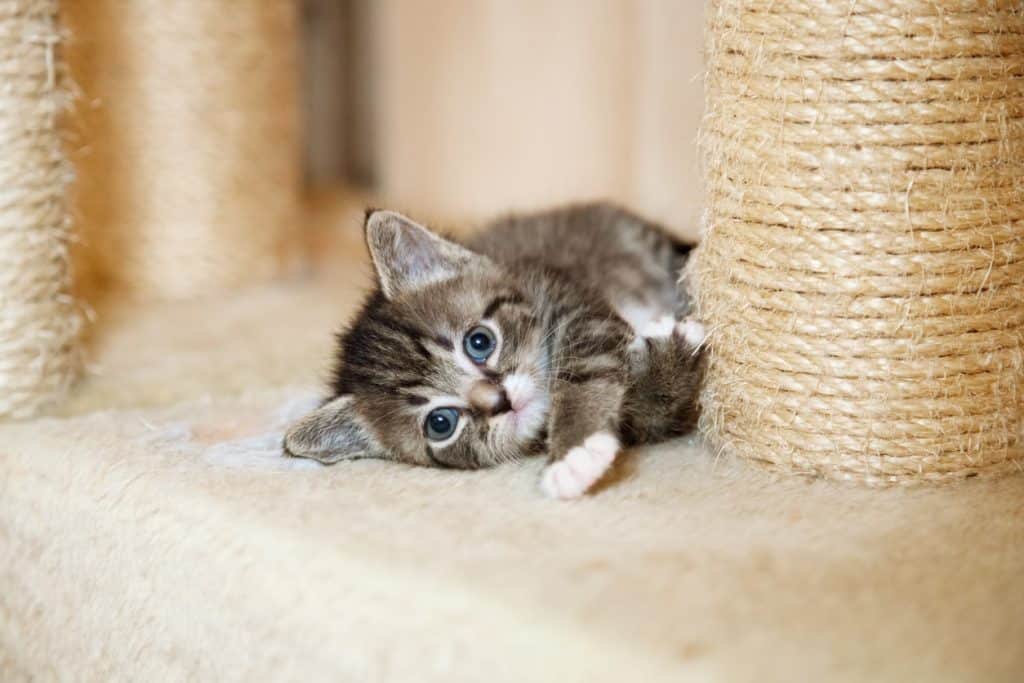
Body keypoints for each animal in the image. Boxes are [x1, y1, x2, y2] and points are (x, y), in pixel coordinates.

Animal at [284, 200, 708, 499]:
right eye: (441, 423)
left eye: (479, 342)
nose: (499, 400)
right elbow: (648, 415)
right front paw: (671, 362)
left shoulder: (570, 301)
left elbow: (586, 369)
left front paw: (574, 449)